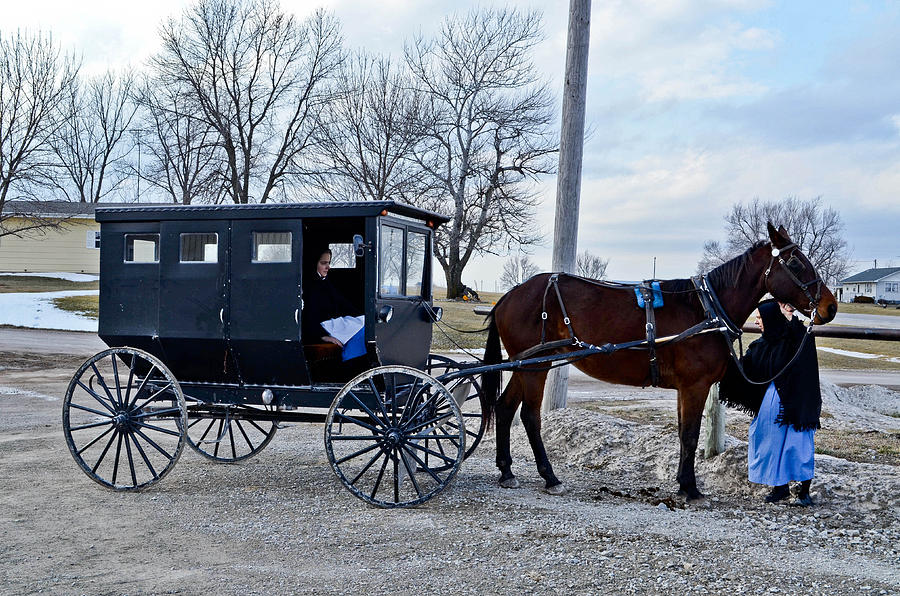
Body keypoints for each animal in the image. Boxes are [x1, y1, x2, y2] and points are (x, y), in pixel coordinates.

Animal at [482, 222, 840, 498]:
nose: (830, 306)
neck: (704, 309)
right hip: (535, 367)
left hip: (524, 365)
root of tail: (511, 295)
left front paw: (683, 483)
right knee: (530, 417)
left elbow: (684, 433)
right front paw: (691, 489)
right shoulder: (695, 385)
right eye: (795, 263)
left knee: (504, 407)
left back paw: (506, 471)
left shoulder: (686, 388)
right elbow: (690, 435)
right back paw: (550, 476)